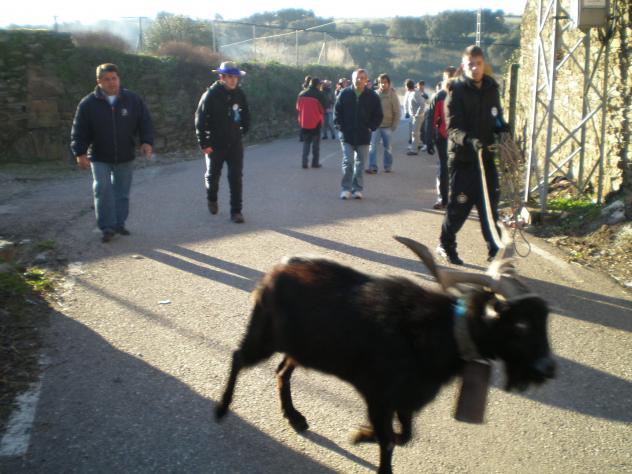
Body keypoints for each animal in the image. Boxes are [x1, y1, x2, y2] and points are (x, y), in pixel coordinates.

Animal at [215, 237, 556, 474]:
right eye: (521, 325)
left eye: (545, 320)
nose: (548, 368)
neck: (442, 331)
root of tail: (272, 272)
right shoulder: (378, 396)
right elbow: (390, 441)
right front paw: (365, 437)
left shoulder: (404, 400)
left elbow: (404, 436)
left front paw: (360, 435)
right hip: (264, 335)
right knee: (238, 357)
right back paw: (222, 408)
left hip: (301, 348)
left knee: (281, 371)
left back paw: (295, 417)